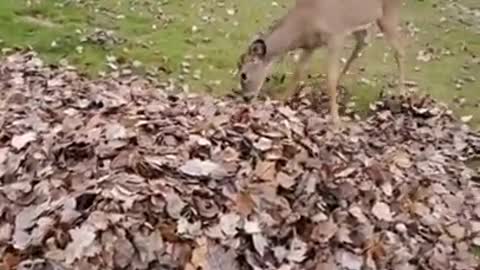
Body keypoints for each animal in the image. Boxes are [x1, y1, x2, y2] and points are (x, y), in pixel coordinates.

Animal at [236, 0, 404, 129]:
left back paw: (400, 95)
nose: (246, 98)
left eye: (244, 75)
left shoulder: (335, 36)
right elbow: (299, 71)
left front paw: (336, 120)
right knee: (362, 42)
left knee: (399, 51)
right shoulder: (311, 45)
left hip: (388, 13)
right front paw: (280, 99)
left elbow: (330, 78)